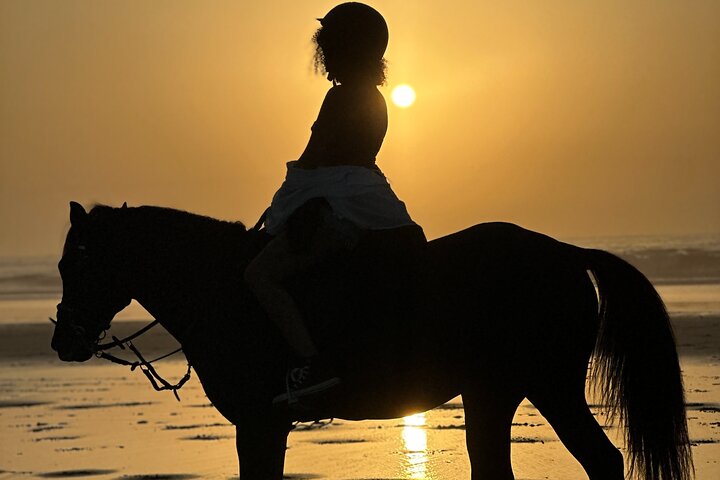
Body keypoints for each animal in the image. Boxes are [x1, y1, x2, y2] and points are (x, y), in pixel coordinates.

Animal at [50, 201, 692, 480]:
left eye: (76, 263)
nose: (63, 343)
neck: (224, 287)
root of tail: (566, 253)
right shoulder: (262, 426)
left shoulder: (260, 423)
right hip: (497, 391)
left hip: (548, 385)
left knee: (602, 461)